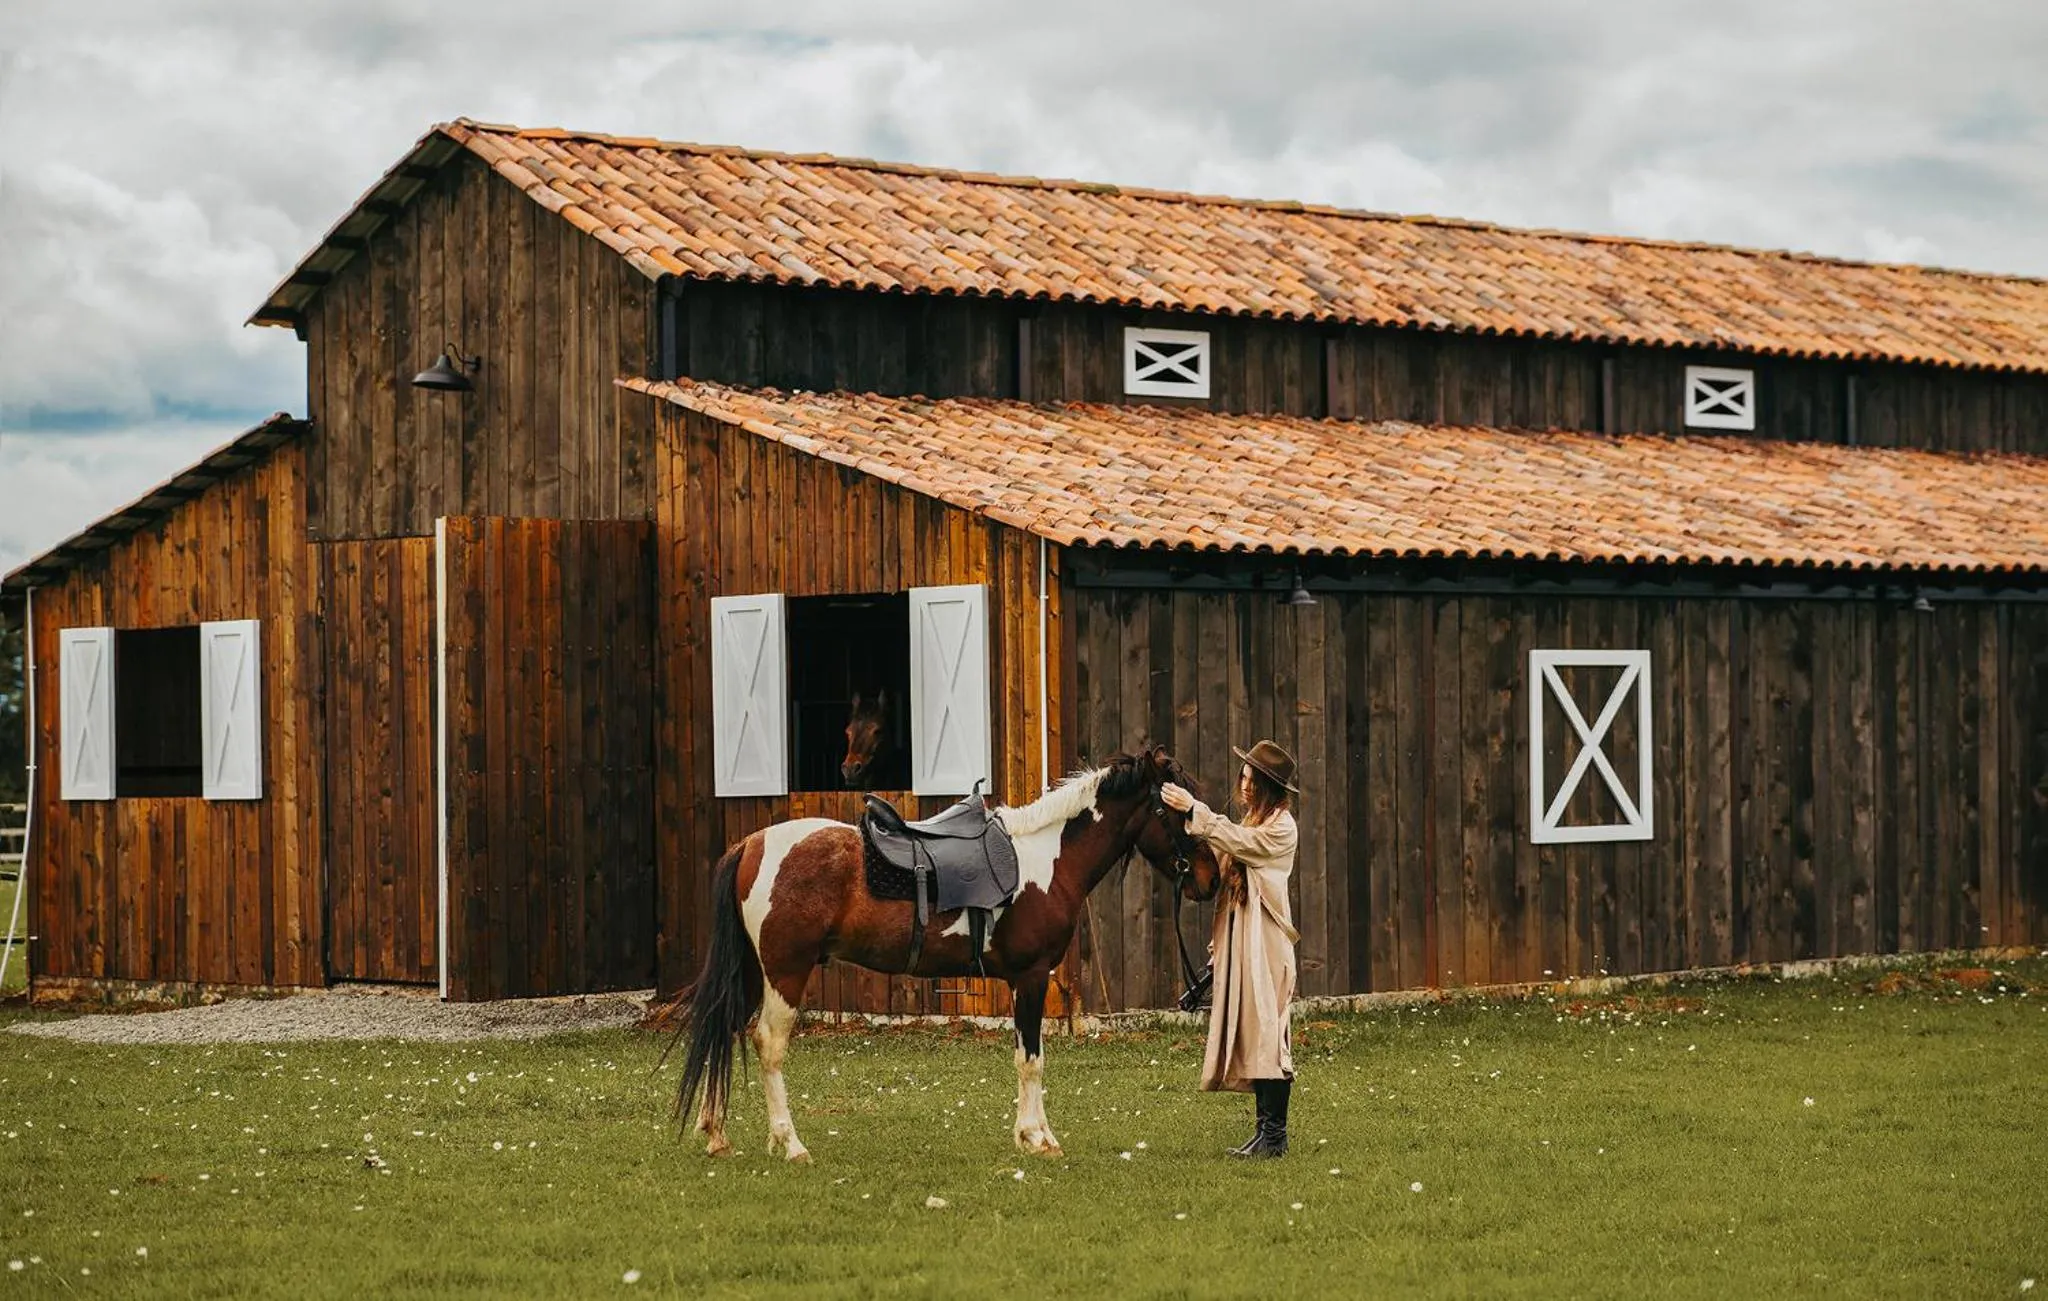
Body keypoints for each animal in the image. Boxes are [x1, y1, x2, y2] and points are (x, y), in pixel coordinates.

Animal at [671, 747, 1221, 1161]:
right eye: (1178, 809)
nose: (1211, 879)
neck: (1047, 859)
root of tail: (750, 844)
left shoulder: (1022, 981)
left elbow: (1024, 1056)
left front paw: (1033, 1134)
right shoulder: (1031, 976)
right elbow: (1032, 1060)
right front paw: (1037, 1139)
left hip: (751, 972)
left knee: (725, 1027)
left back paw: (716, 1133)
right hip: (785, 973)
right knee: (768, 1043)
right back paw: (790, 1144)